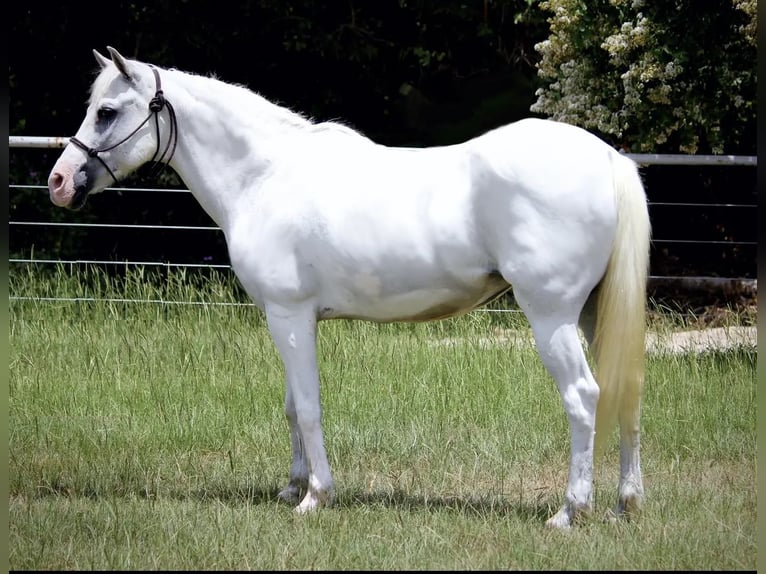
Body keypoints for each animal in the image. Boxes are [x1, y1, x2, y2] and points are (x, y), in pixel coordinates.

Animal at [48, 47, 652, 528]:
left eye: (106, 112)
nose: (59, 181)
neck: (264, 176)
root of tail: (608, 158)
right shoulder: (285, 319)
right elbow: (292, 406)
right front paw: (291, 485)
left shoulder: (289, 315)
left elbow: (310, 406)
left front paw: (315, 496)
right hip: (594, 313)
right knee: (623, 391)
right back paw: (625, 504)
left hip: (551, 317)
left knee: (584, 397)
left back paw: (570, 511)